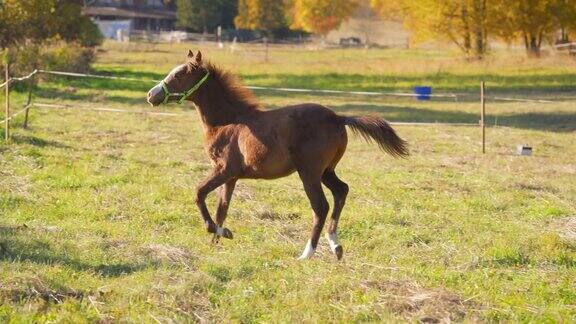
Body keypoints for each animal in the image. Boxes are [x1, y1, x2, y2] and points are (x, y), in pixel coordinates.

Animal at [148, 50, 410, 260]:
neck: (227, 121)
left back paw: (306, 254)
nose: (151, 95)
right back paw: (335, 246)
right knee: (341, 191)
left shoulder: (223, 169)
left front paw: (217, 232)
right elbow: (222, 208)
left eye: (178, 75)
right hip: (326, 170)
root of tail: (338, 118)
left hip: (309, 172)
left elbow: (199, 194)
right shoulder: (231, 177)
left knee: (321, 206)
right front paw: (217, 241)